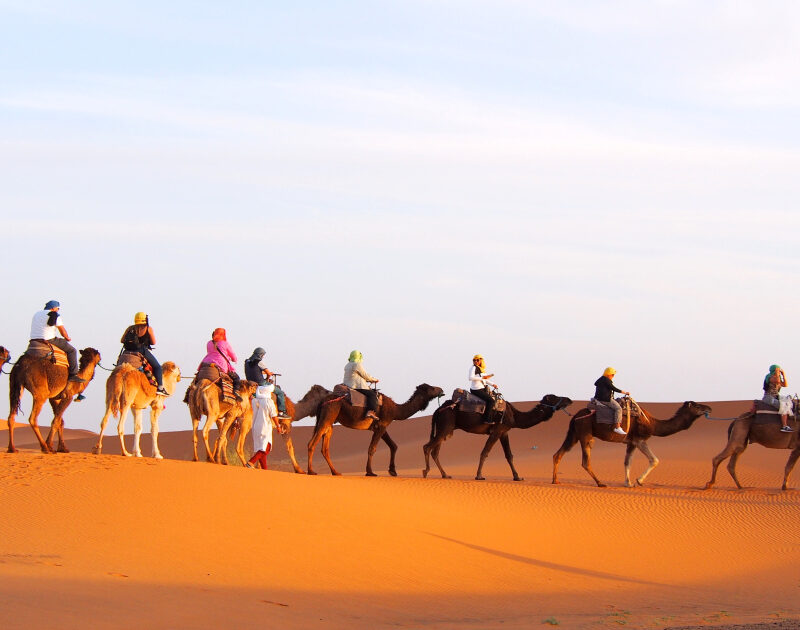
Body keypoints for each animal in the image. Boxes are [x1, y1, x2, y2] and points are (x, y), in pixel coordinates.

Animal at [306, 380, 444, 478]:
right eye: (431, 388)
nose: (441, 389)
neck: (395, 410)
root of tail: (322, 401)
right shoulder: (382, 425)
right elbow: (372, 448)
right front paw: (370, 472)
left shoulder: (380, 427)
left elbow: (393, 446)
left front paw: (393, 471)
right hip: (328, 415)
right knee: (312, 443)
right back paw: (311, 471)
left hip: (329, 421)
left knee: (325, 448)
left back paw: (335, 472)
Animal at [422, 396, 572, 484]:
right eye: (554, 398)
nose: (569, 399)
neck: (514, 416)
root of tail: (438, 410)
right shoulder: (497, 430)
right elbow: (485, 452)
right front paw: (479, 476)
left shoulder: (504, 432)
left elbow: (509, 455)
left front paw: (517, 477)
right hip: (446, 425)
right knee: (427, 447)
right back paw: (426, 472)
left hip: (445, 428)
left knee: (435, 451)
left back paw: (445, 475)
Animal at [552, 400, 712, 488]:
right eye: (697, 406)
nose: (709, 408)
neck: (652, 423)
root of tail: (574, 417)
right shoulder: (640, 440)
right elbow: (654, 460)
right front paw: (638, 481)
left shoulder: (631, 443)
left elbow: (627, 462)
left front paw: (628, 483)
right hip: (585, 432)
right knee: (585, 461)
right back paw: (600, 483)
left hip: (574, 434)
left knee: (558, 454)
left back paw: (555, 480)